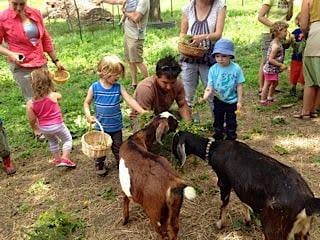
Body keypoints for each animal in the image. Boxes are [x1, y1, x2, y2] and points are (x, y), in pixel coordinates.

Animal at [119, 112, 196, 240]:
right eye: (172, 120)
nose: (179, 122)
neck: (135, 140)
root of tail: (173, 182)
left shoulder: (125, 189)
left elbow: (125, 200)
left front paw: (125, 220)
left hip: (156, 213)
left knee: (163, 233)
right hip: (175, 208)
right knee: (175, 228)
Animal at [171, 131, 320, 240]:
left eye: (174, 142)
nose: (174, 159)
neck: (213, 149)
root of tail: (307, 201)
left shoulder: (224, 181)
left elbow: (224, 203)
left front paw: (220, 224)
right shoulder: (241, 186)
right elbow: (244, 200)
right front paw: (247, 220)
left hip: (274, 227)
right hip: (302, 231)